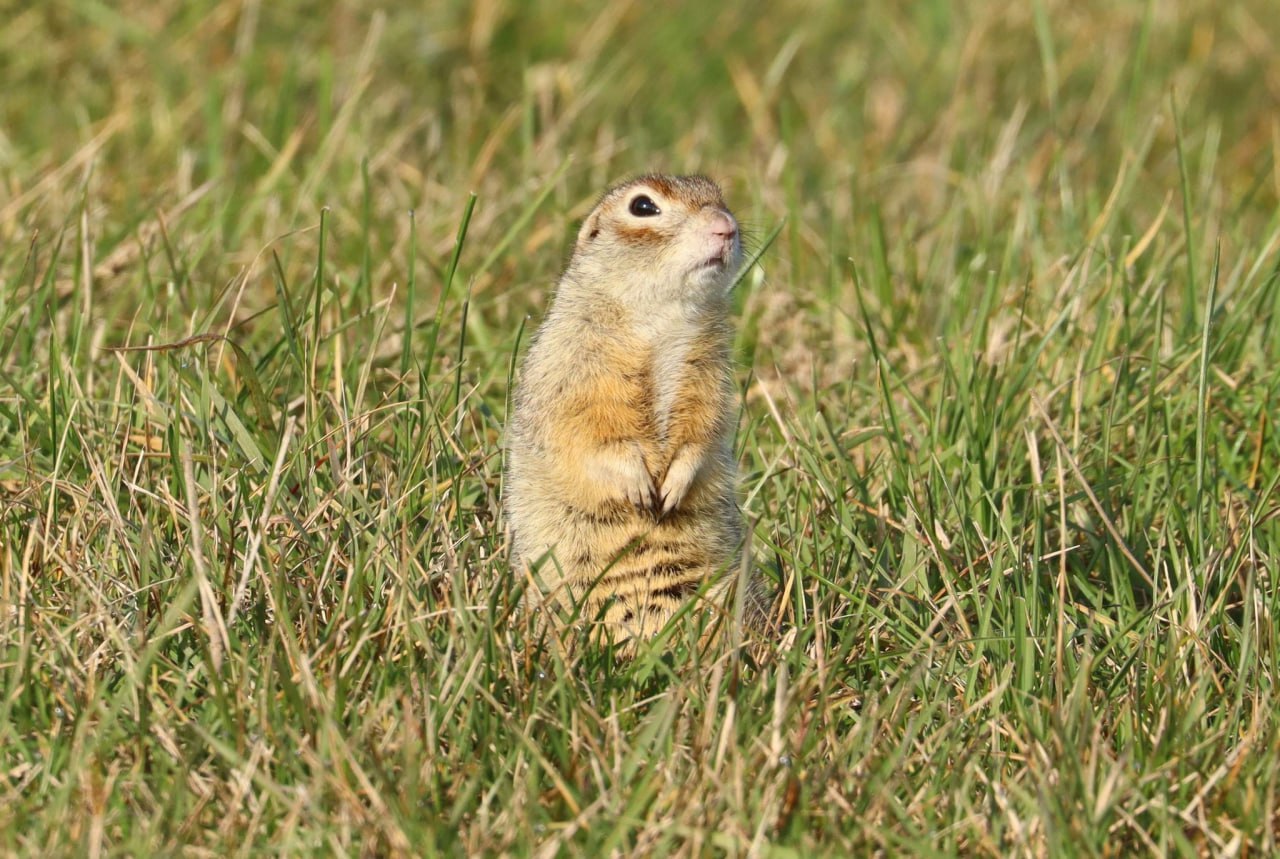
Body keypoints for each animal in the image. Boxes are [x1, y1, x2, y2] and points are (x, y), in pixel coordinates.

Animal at [501, 174, 768, 652]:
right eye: (643, 206)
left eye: (717, 192)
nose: (726, 227)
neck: (661, 318)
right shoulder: (576, 368)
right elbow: (589, 433)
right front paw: (639, 484)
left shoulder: (708, 374)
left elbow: (703, 430)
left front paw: (676, 483)